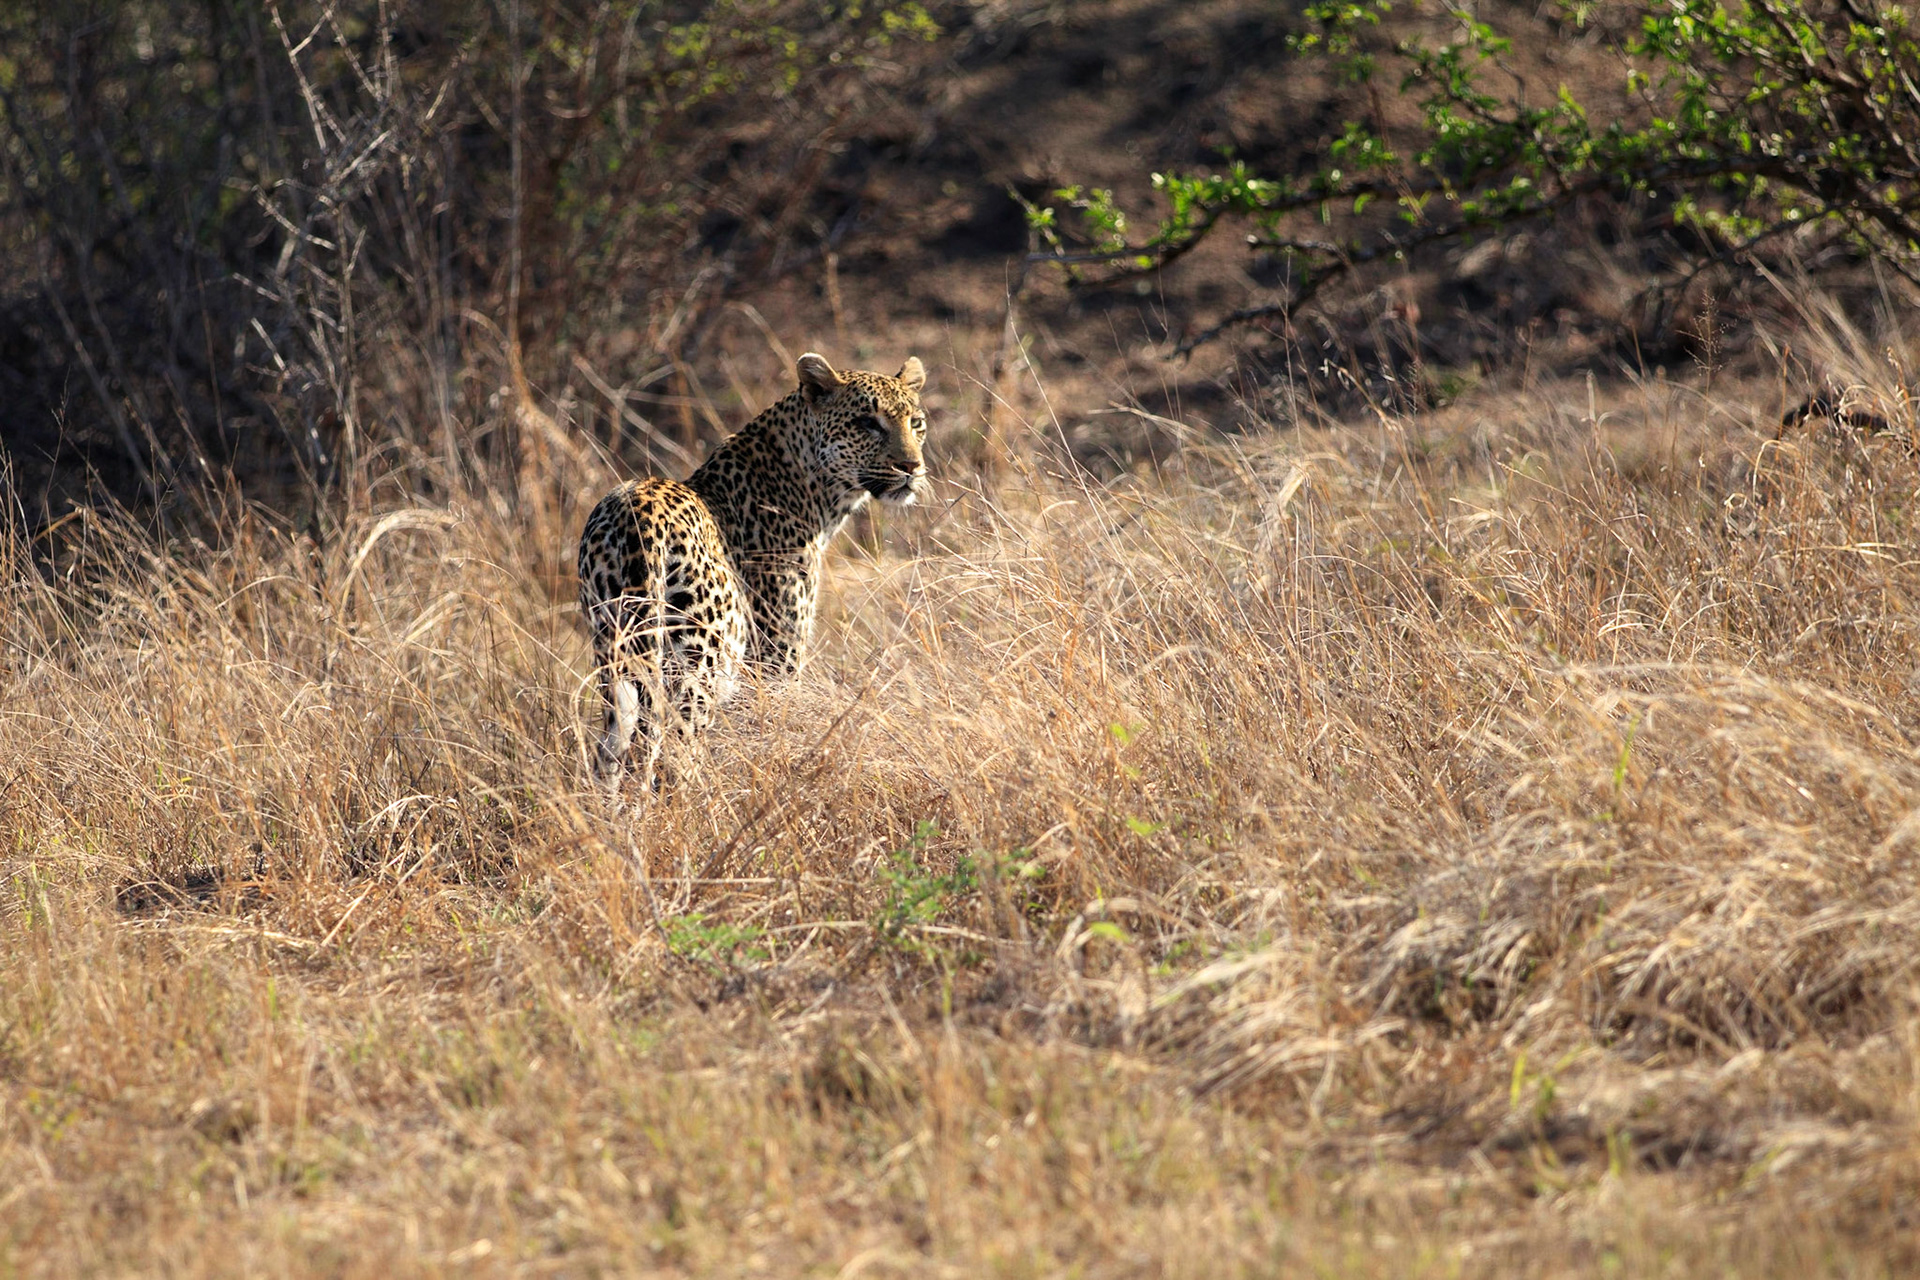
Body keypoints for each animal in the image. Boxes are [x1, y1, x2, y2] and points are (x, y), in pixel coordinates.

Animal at [577, 351, 929, 789]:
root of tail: (637, 513)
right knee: (673, 756)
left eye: (916, 422)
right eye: (867, 422)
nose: (911, 467)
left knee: (609, 757)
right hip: (697, 663)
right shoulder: (776, 661)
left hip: (615, 659)